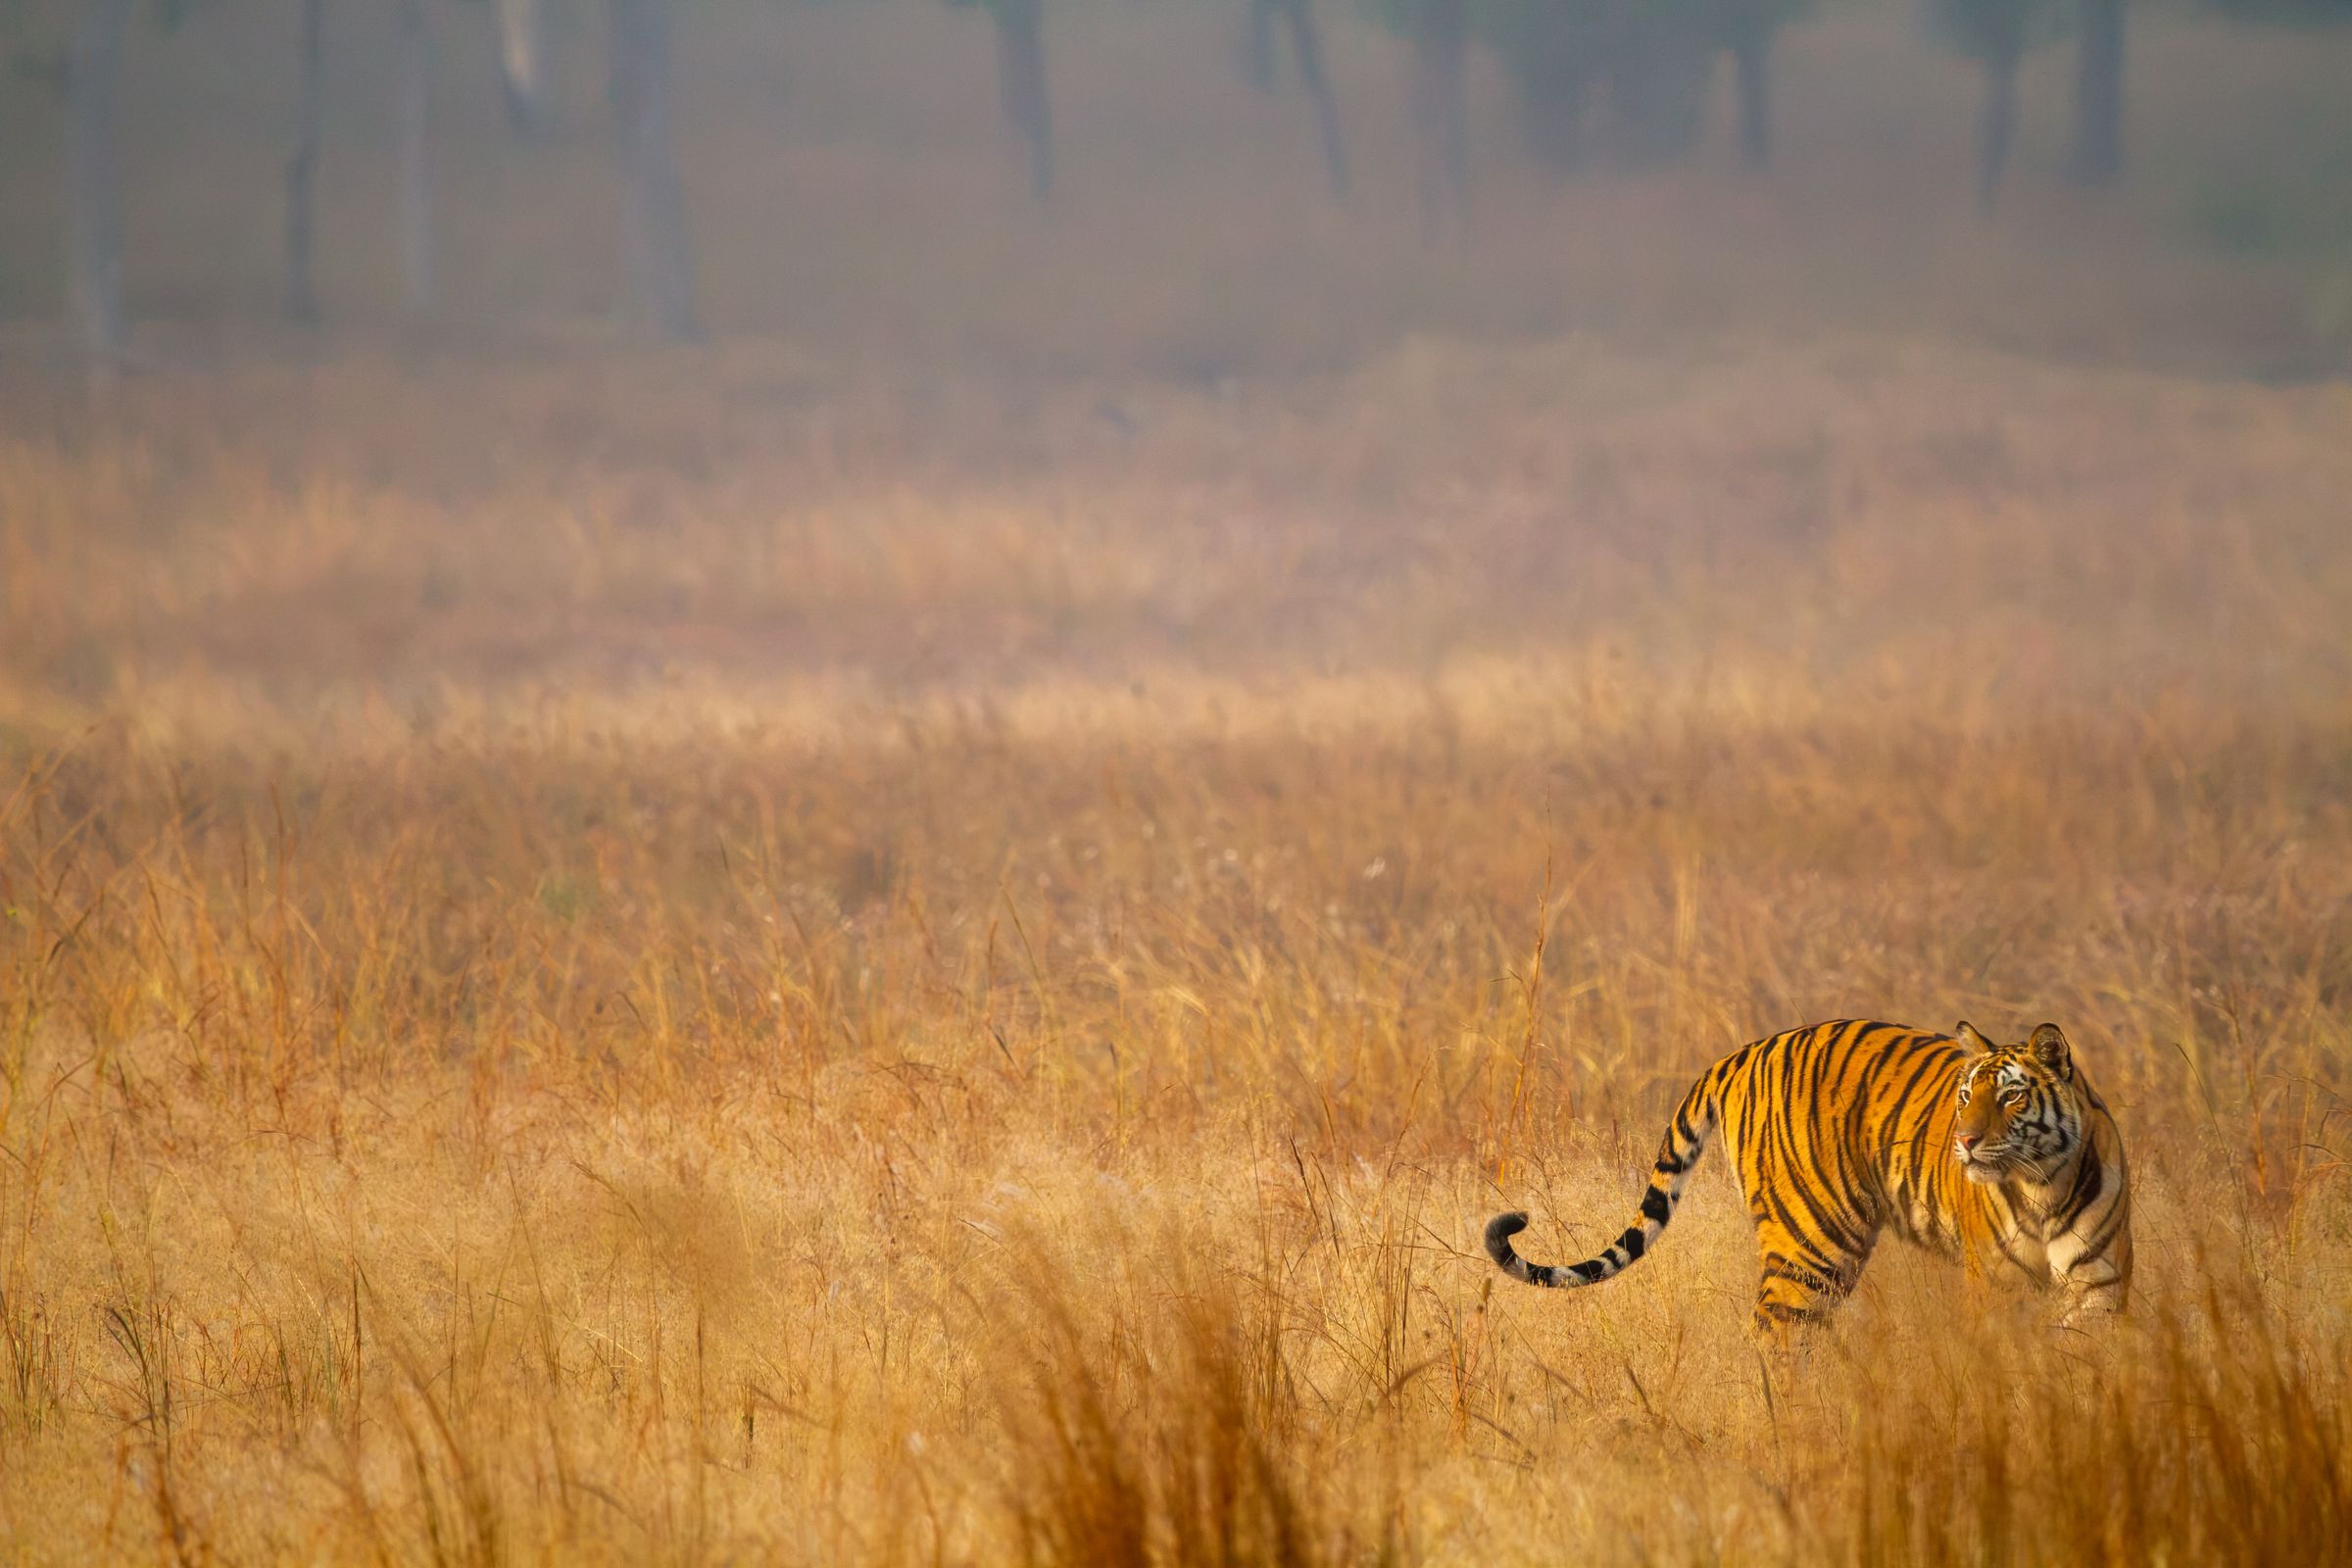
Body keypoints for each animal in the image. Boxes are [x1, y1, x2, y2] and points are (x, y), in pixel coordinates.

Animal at [1484, 1020, 2132, 1332]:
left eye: (2012, 1097)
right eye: (1966, 1096)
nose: (1964, 1142)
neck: (2042, 1185)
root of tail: (1742, 1052)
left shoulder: (2099, 1285)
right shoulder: (1999, 1287)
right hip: (1815, 1243)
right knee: (1776, 1336)